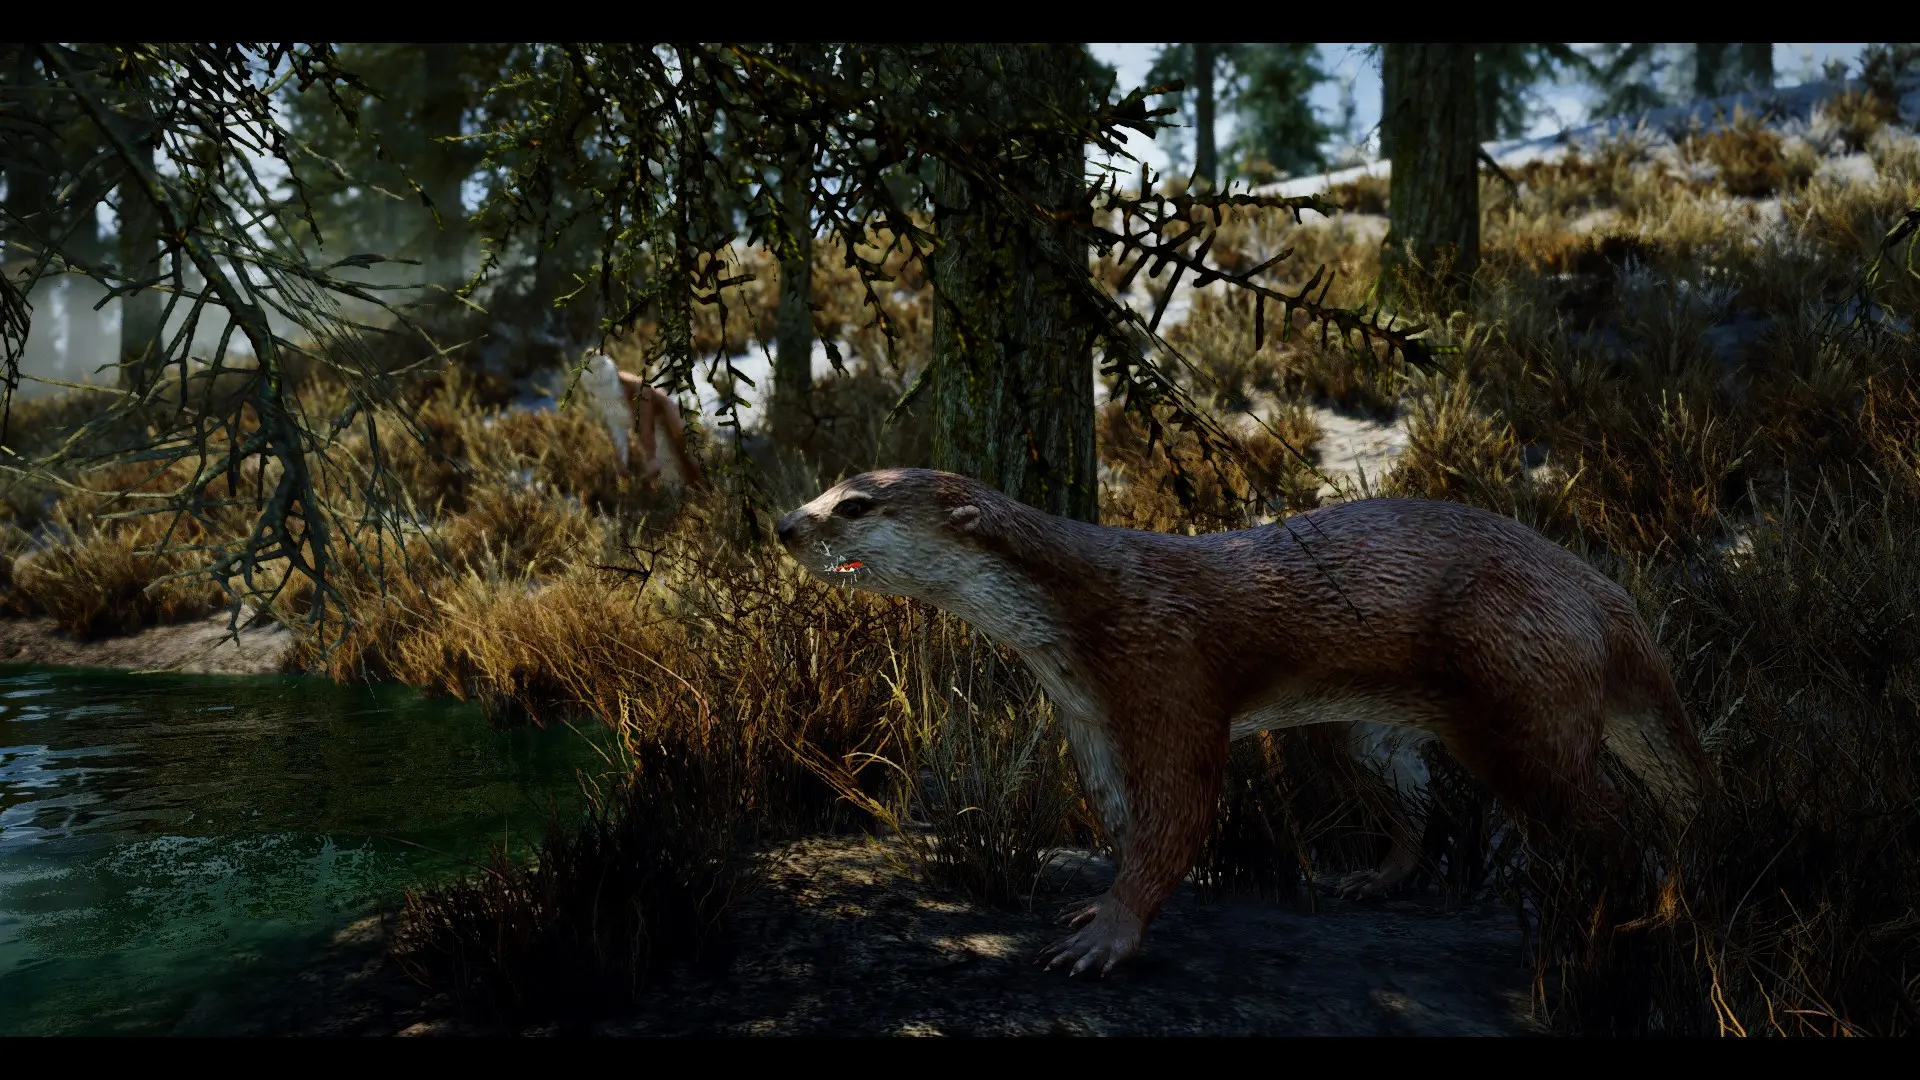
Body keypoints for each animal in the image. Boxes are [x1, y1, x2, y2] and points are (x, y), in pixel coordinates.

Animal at [775, 468, 1716, 977]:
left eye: (854, 505)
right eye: (822, 487)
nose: (784, 522)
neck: (1084, 609)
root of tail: (1603, 594)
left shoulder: (1170, 676)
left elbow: (1181, 812)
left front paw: (1111, 936)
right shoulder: (1088, 714)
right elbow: (1121, 814)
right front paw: (1097, 905)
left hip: (1524, 702)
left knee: (1609, 816)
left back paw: (1635, 912)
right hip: (1373, 732)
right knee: (1419, 805)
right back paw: (1374, 879)